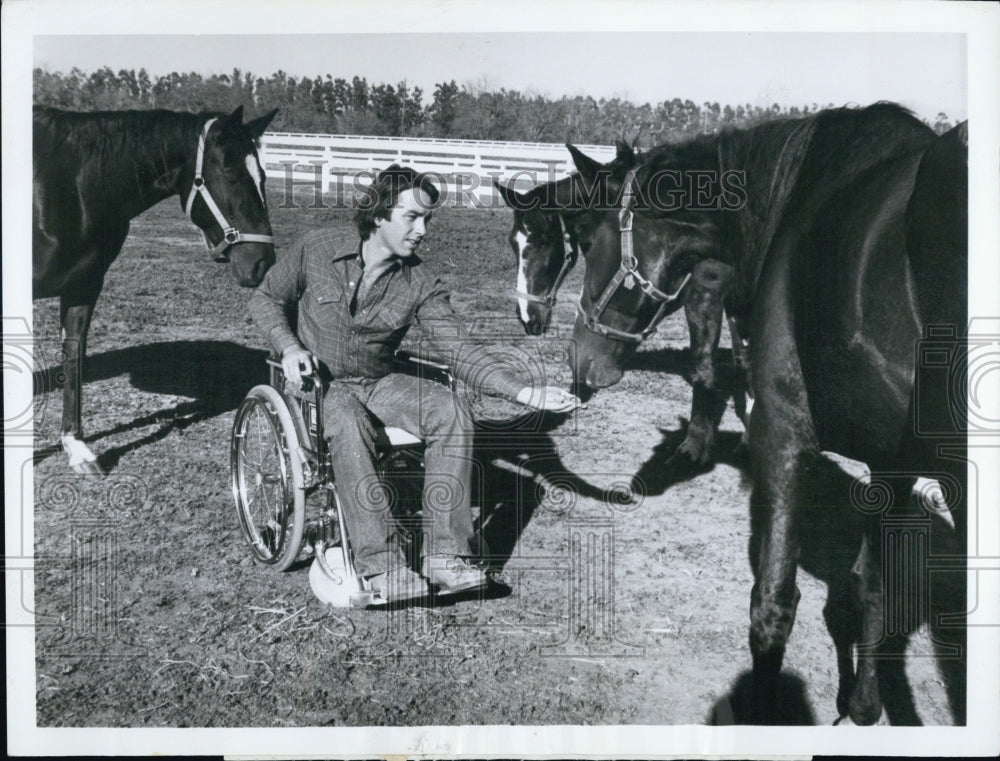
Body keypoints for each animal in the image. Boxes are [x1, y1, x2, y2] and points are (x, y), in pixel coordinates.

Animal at [32, 104, 278, 472]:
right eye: (231, 173)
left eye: (261, 176)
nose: (263, 260)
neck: (71, 182)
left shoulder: (84, 286)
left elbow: (73, 359)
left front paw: (76, 447)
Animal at [496, 140, 748, 466]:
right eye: (513, 244)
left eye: (542, 241)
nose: (527, 318)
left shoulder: (709, 296)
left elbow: (705, 366)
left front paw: (694, 447)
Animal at [568, 102, 964, 724]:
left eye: (585, 237)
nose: (580, 362)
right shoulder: (891, 465)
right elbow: (872, 589)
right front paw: (864, 704)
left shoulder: (782, 428)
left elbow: (772, 605)